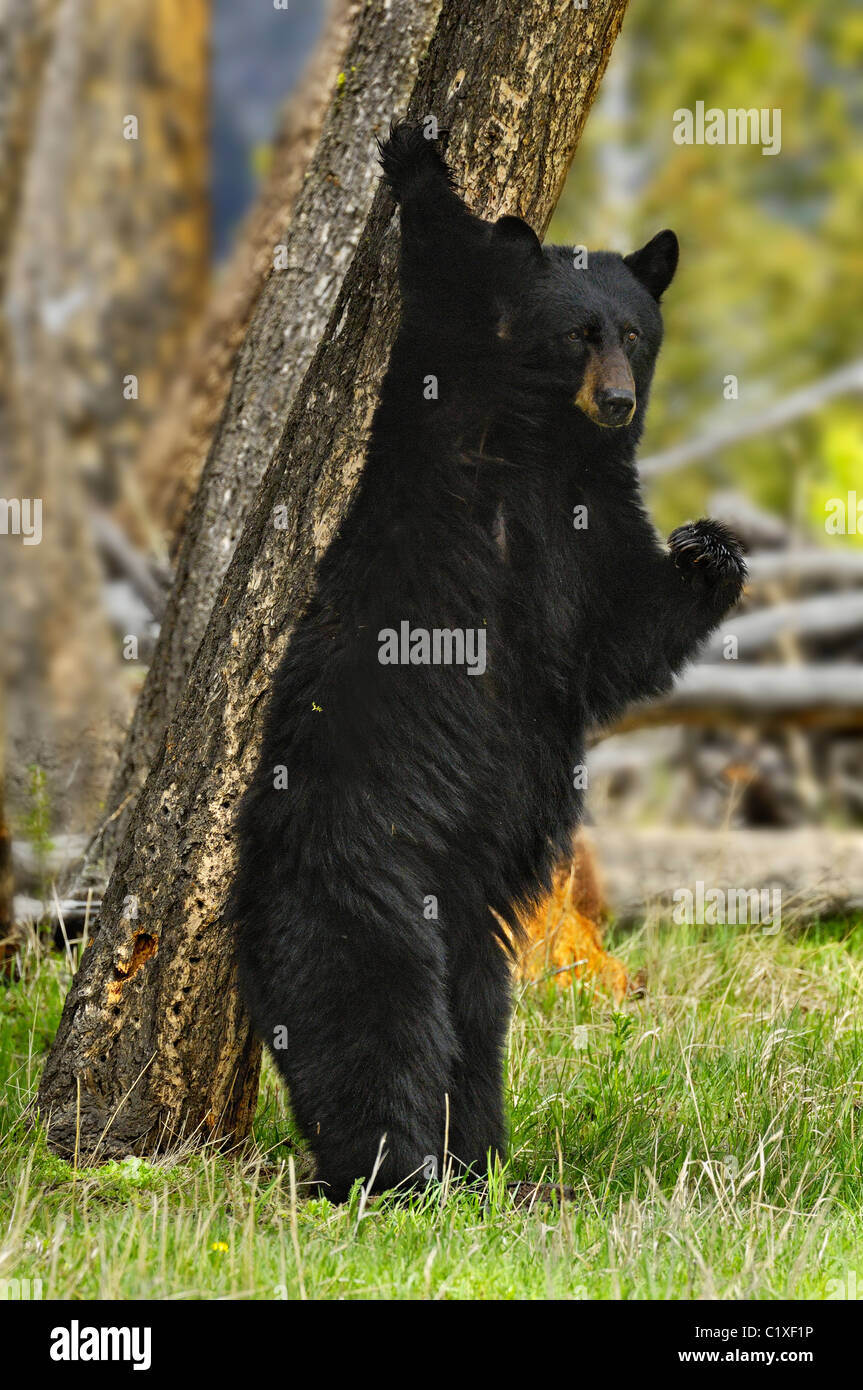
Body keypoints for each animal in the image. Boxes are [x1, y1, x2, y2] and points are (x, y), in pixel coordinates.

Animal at [230, 121, 746, 1202]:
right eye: (577, 334)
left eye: (633, 332)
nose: (616, 400)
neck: (552, 444)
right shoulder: (454, 412)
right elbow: (444, 280)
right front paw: (416, 155)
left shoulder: (586, 535)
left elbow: (618, 639)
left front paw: (710, 549)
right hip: (365, 880)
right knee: (370, 1016)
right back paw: (398, 1169)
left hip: (470, 915)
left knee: (473, 1026)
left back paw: (473, 1161)